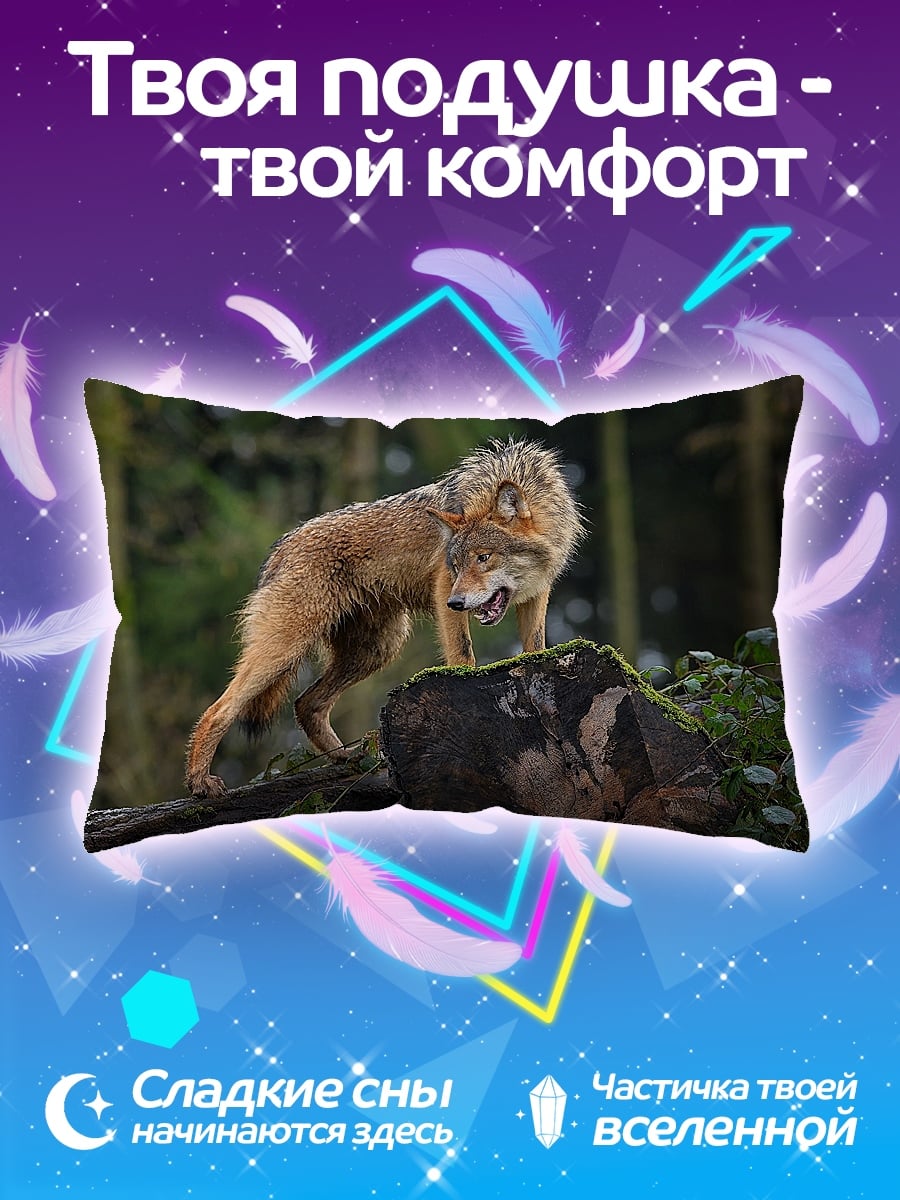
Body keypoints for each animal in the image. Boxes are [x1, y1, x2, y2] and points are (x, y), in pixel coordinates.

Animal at [185, 438, 584, 798]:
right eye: (456, 564)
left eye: (484, 558)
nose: (457, 602)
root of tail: (282, 545)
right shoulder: (443, 587)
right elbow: (463, 655)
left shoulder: (537, 595)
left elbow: (534, 647)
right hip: (288, 648)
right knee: (219, 710)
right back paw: (200, 783)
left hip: (376, 649)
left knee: (306, 704)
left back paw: (347, 759)